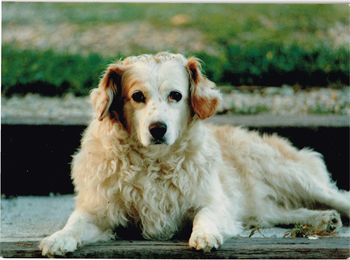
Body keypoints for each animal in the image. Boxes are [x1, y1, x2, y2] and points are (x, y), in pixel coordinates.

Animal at [39, 52, 350, 256]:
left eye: (176, 95)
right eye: (137, 96)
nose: (158, 129)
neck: (155, 161)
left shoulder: (215, 202)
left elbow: (205, 215)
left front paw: (204, 234)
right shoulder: (98, 212)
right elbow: (75, 224)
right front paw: (58, 239)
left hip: (292, 177)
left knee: (337, 197)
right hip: (261, 203)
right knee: (278, 211)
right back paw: (324, 220)